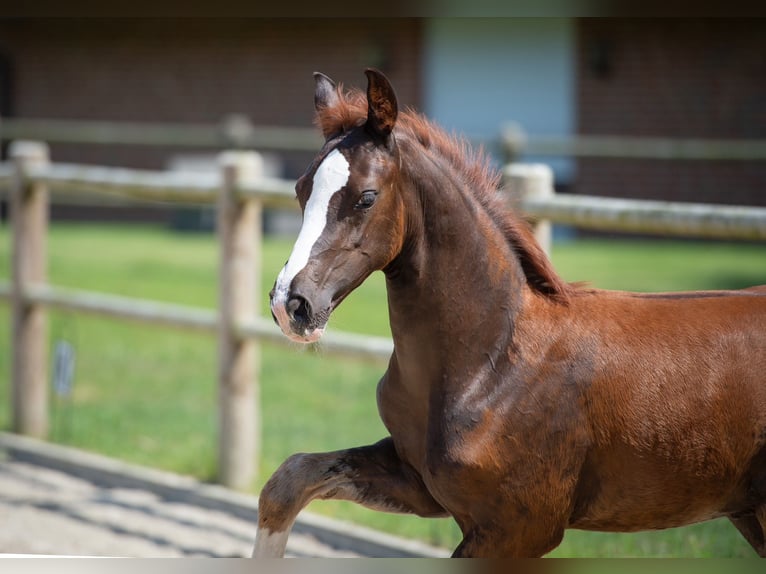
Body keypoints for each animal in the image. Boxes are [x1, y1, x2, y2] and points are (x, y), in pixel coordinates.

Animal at [255, 70, 766, 560]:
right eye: (300, 190)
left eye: (366, 197)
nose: (290, 304)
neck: (491, 361)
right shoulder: (419, 483)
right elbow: (288, 479)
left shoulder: (521, 529)